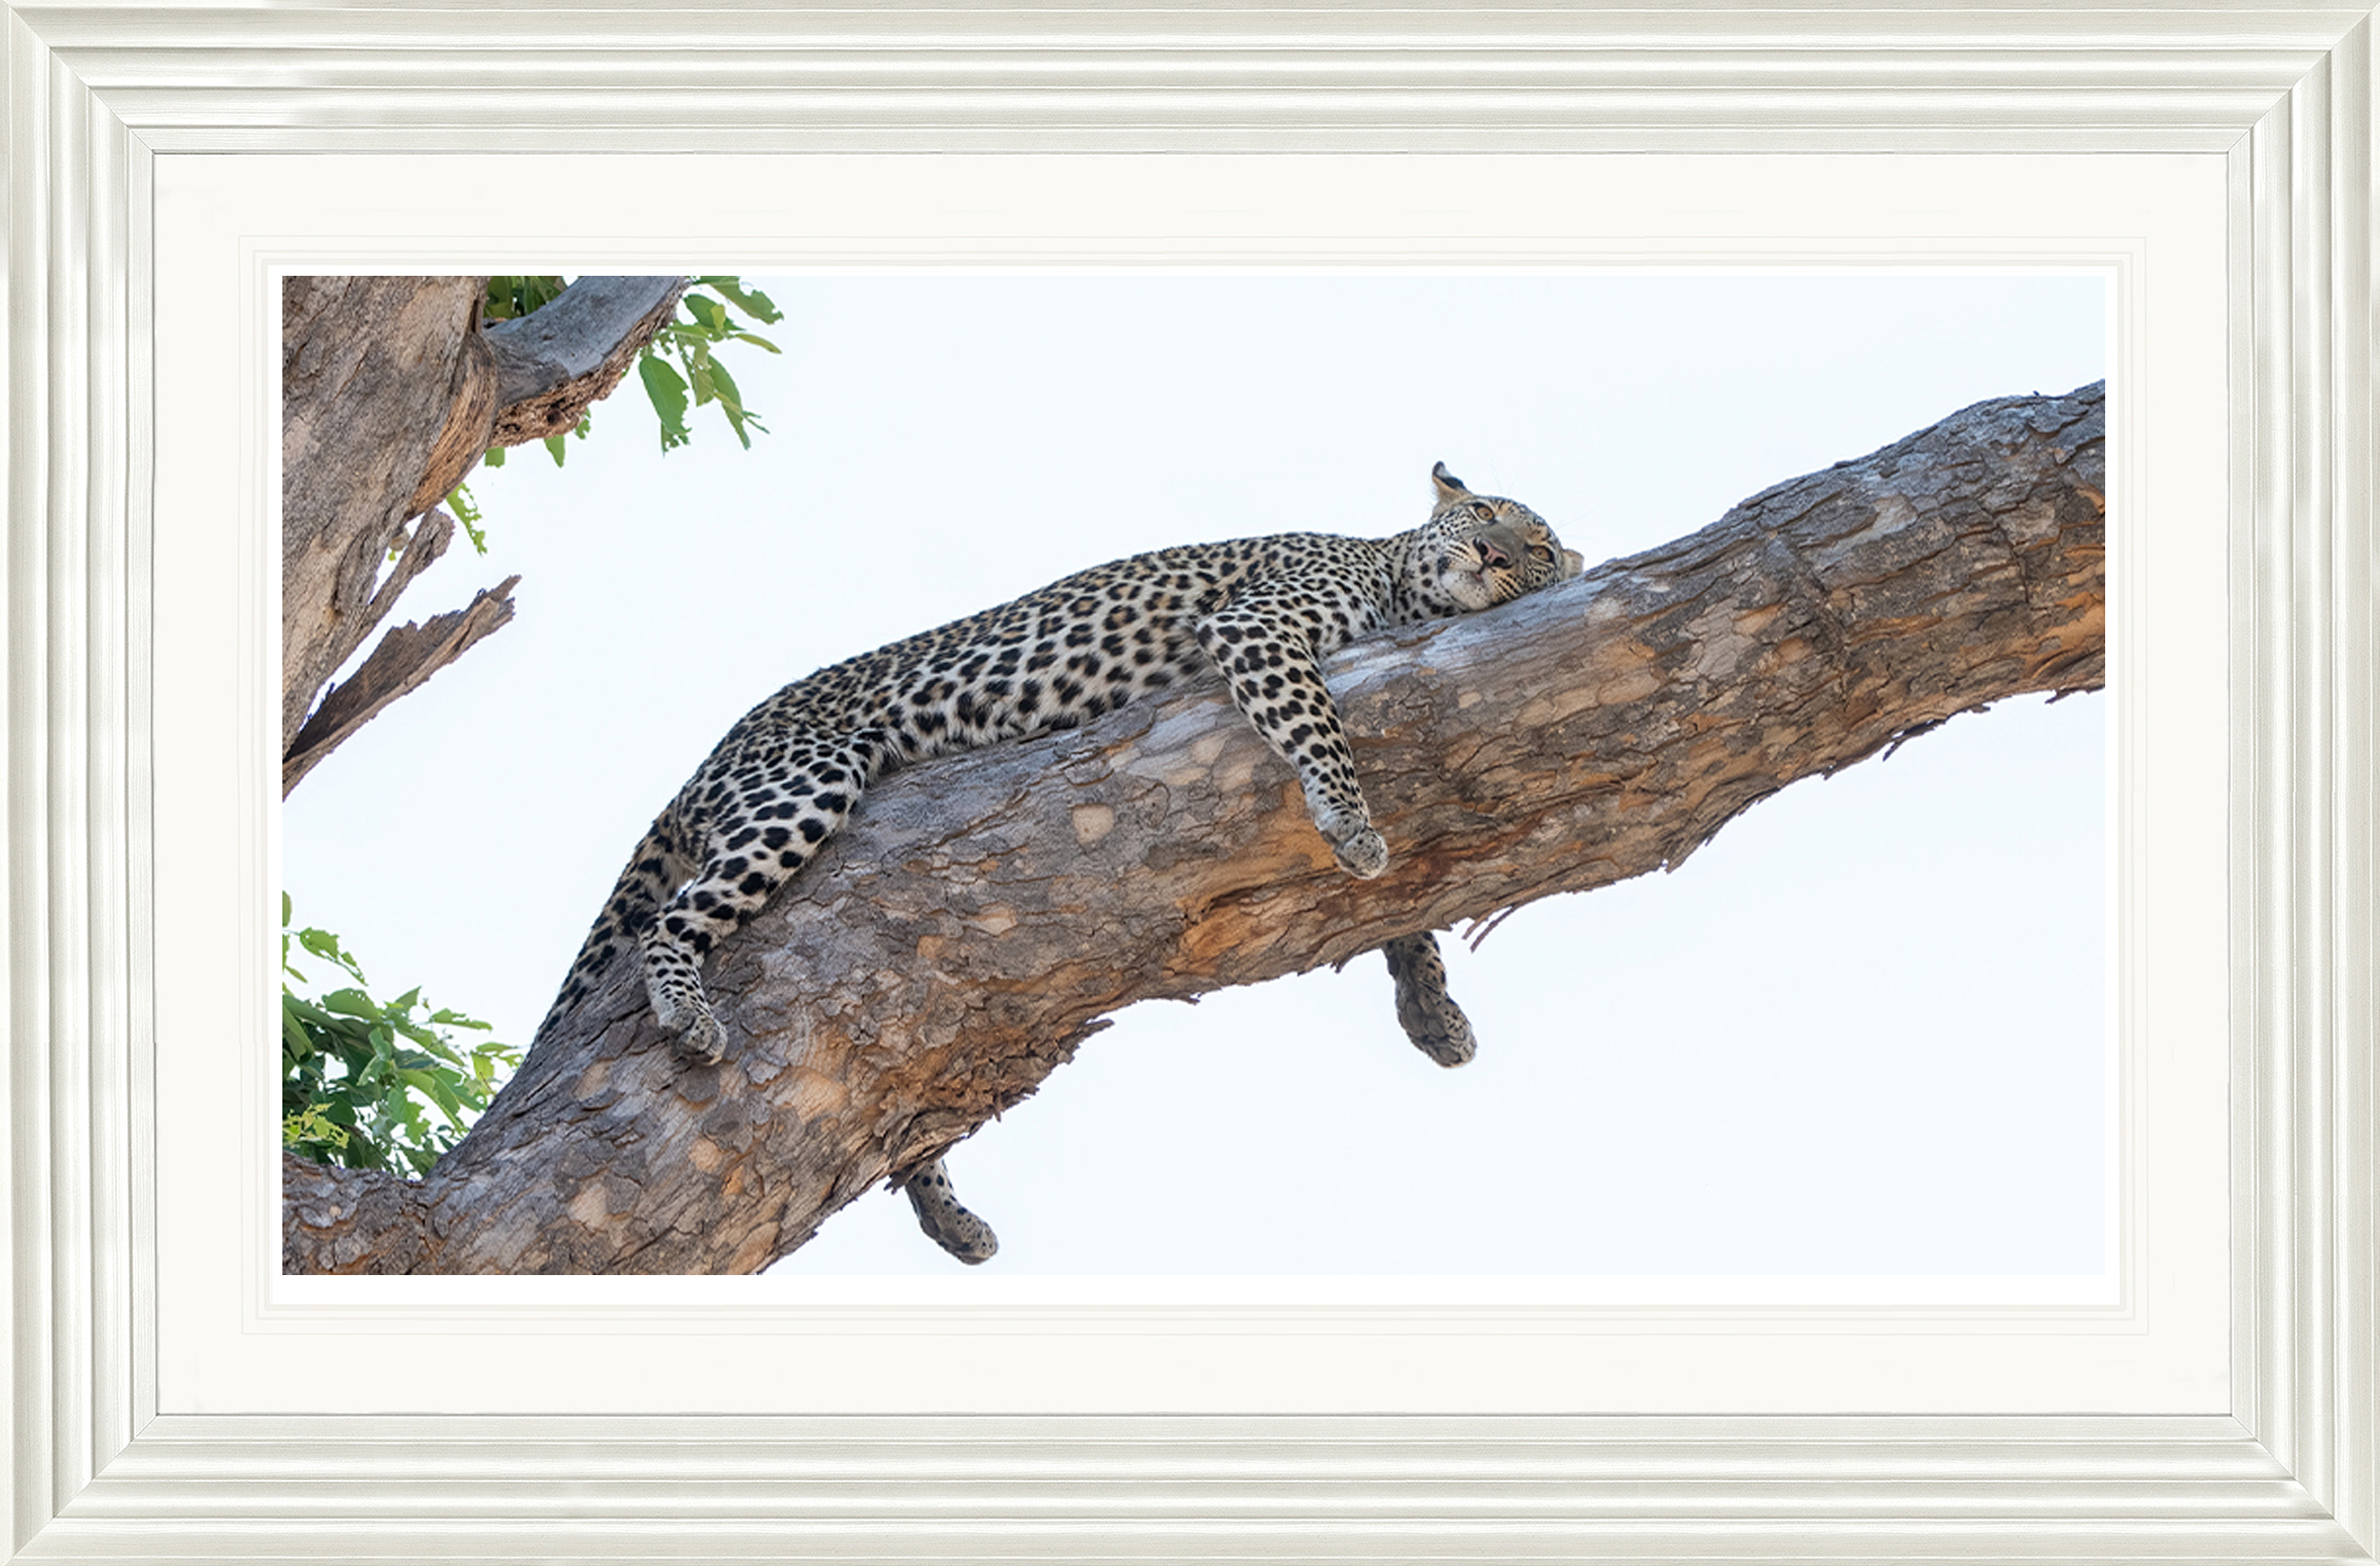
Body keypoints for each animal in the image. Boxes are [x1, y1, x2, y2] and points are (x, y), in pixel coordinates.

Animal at [545, 462, 1584, 1264]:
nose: (1497, 556)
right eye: (1488, 513)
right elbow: (1323, 734)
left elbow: (1400, 910)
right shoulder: (1258, 629)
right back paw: (688, 1011)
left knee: (904, 1105)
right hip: (801, 783)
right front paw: (1355, 822)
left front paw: (1434, 1010)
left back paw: (953, 1219)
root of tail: (712, 755)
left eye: (1539, 548)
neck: (1395, 573)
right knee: (672, 917)